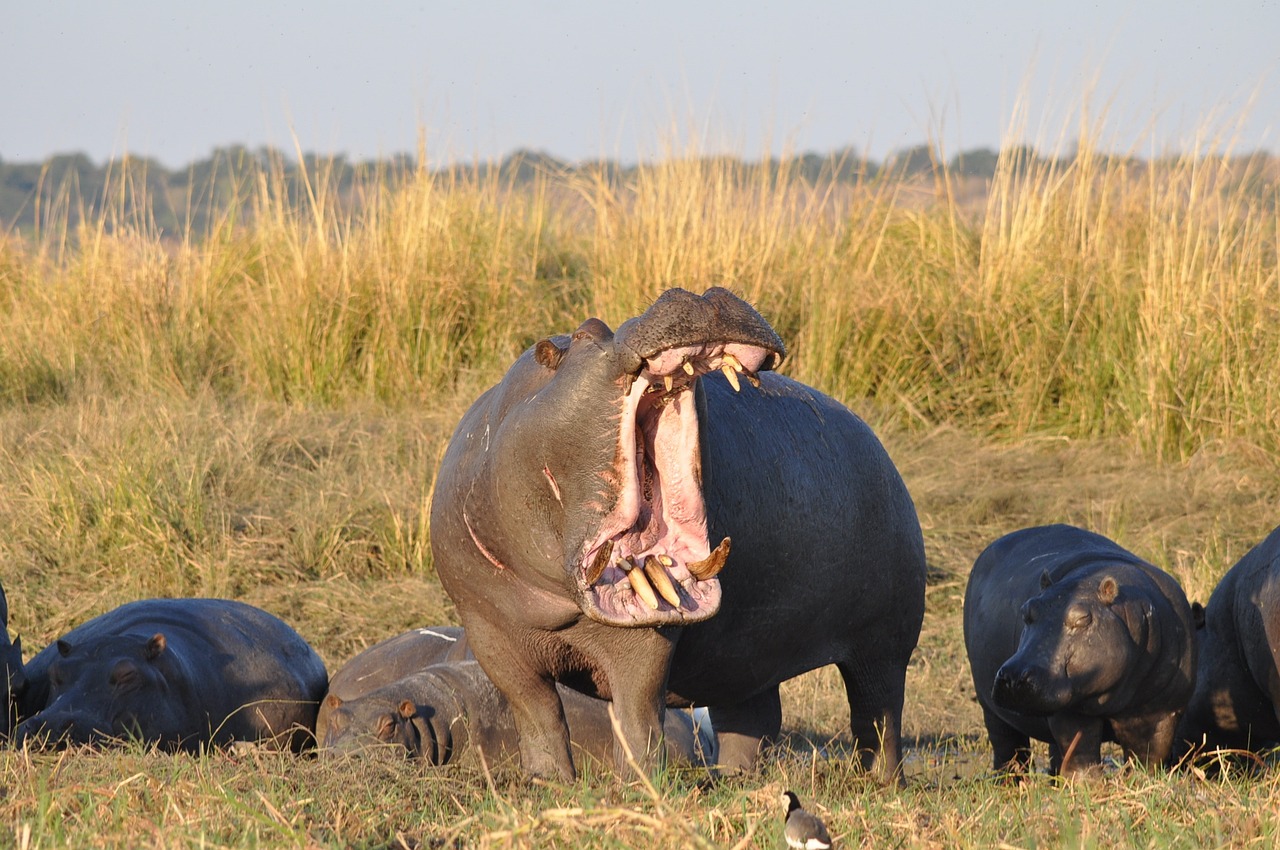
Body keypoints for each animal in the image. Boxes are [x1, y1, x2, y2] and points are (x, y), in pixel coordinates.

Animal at [427, 289, 921, 778]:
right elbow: (536, 712)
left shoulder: (649, 635)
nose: (703, 295)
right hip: (746, 657)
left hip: (884, 642)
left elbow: (636, 714)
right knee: (752, 717)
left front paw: (639, 784)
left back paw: (879, 783)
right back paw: (731, 779)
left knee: (878, 717)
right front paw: (549, 782)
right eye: (586, 332)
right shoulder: (490, 633)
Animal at [962, 524, 1192, 778]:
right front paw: (1088, 784)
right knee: (1008, 747)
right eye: (1027, 610)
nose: (1013, 676)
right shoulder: (1070, 710)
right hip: (991, 709)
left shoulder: (1162, 710)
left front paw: (1143, 779)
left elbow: (1149, 754)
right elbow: (1080, 751)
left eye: (1082, 618)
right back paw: (1009, 780)